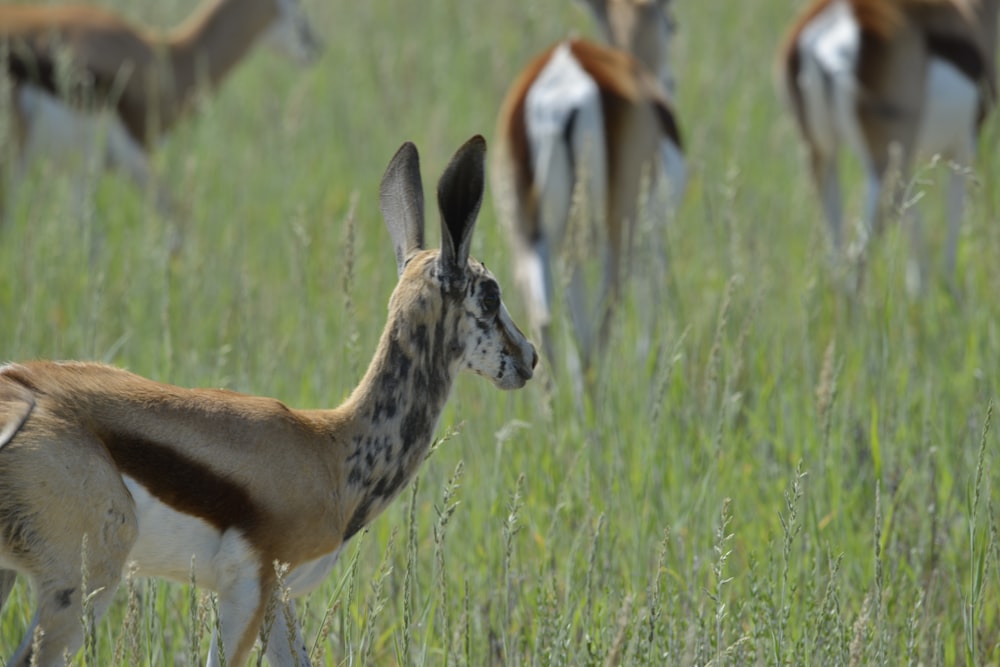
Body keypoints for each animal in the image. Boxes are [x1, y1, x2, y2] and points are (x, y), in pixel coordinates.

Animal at [0, 136, 540, 667]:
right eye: (490, 295)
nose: (530, 357)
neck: (330, 452)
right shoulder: (248, 589)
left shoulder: (279, 601)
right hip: (85, 581)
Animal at [494, 0, 688, 370]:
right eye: (671, 25)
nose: (671, 81)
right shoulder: (651, 240)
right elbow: (650, 323)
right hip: (619, 233)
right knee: (602, 324)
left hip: (532, 234)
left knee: (545, 324)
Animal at [784, 0, 996, 292]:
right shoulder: (964, 148)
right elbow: (947, 251)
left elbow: (916, 254)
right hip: (883, 167)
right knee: (856, 261)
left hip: (822, 157)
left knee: (837, 261)